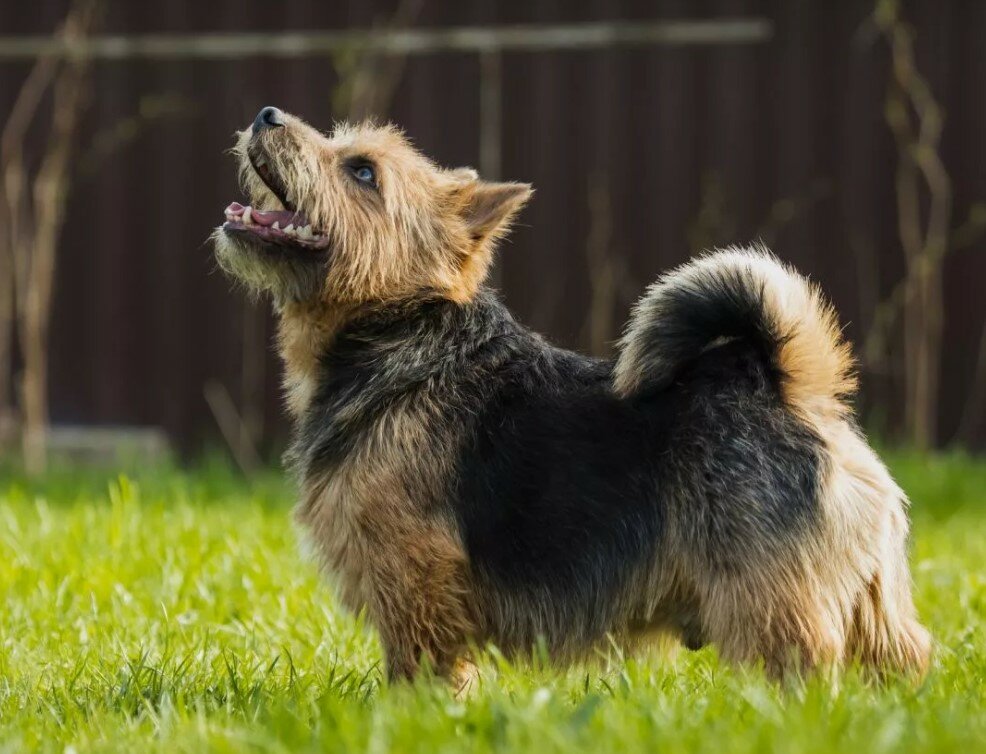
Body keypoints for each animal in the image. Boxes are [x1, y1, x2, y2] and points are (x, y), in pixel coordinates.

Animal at [213, 107, 932, 688]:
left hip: (768, 603)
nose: (267, 114)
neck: (403, 332)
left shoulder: (416, 583)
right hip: (875, 610)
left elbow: (422, 672)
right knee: (906, 658)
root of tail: (791, 389)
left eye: (362, 171)